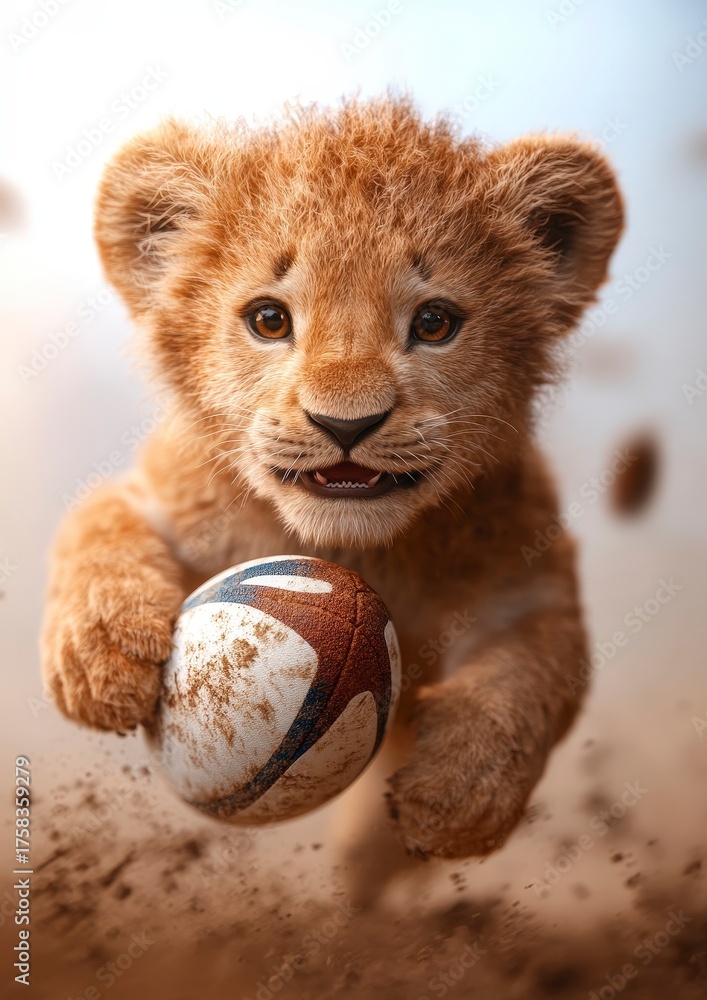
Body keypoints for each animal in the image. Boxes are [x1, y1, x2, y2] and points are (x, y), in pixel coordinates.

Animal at [40, 96, 623, 864]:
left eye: (434, 323)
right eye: (268, 319)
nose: (346, 426)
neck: (350, 549)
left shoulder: (531, 580)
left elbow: (531, 675)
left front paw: (458, 791)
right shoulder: (168, 494)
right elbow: (96, 521)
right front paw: (100, 658)